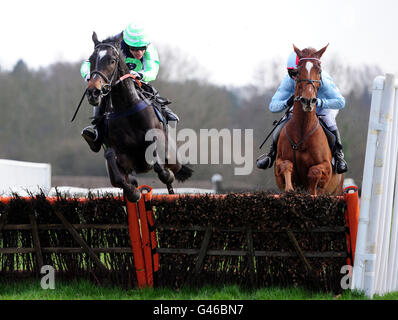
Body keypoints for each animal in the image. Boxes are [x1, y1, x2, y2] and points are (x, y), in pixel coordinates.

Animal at [86, 33, 194, 202]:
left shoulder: (154, 139)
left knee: (172, 176)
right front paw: (133, 192)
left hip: (173, 158)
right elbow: (117, 169)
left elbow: (161, 168)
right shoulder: (116, 151)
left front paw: (166, 174)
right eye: (91, 60)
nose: (93, 92)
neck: (126, 106)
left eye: (112, 60)